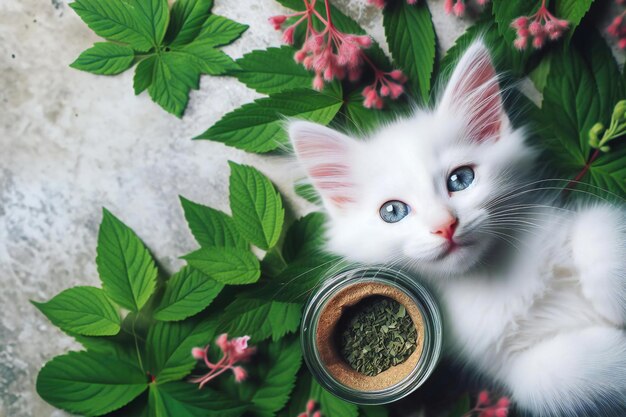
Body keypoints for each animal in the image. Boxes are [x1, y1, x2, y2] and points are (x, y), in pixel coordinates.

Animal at [288, 40, 624, 414]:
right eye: (393, 211)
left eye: (460, 179)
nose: (445, 226)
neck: (490, 275)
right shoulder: (497, 360)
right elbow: (546, 380)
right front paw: (617, 347)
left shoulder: (558, 222)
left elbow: (599, 224)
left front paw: (613, 303)